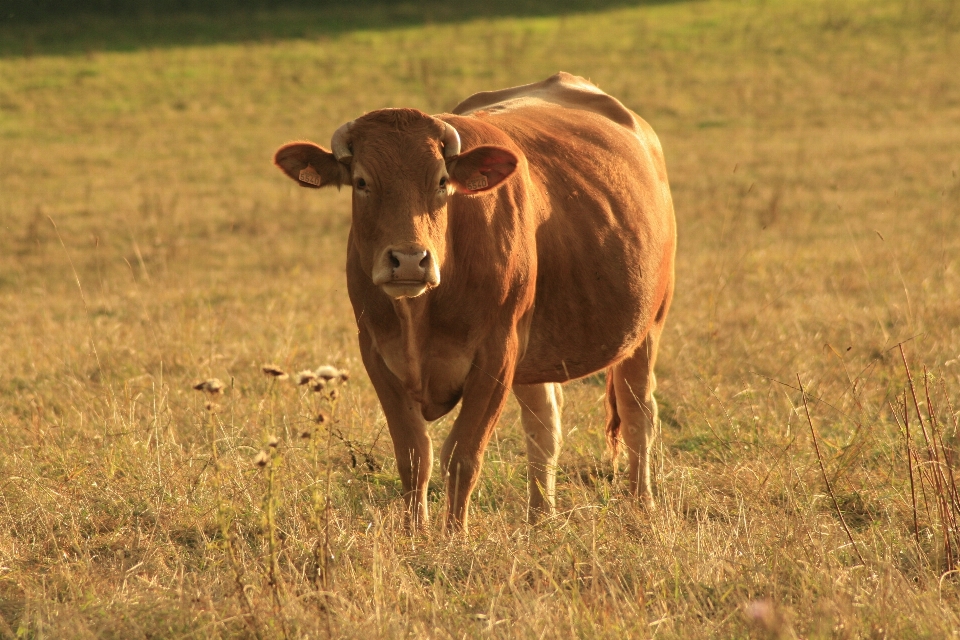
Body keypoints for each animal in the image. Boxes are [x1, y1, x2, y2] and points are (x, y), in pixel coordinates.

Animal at [274, 72, 672, 528]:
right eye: (361, 182)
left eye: (441, 182)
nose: (408, 260)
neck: (420, 313)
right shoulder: (376, 354)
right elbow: (414, 456)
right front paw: (416, 534)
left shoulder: (496, 355)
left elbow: (463, 456)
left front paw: (453, 535)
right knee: (544, 426)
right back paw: (540, 517)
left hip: (647, 326)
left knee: (638, 414)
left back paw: (642, 505)